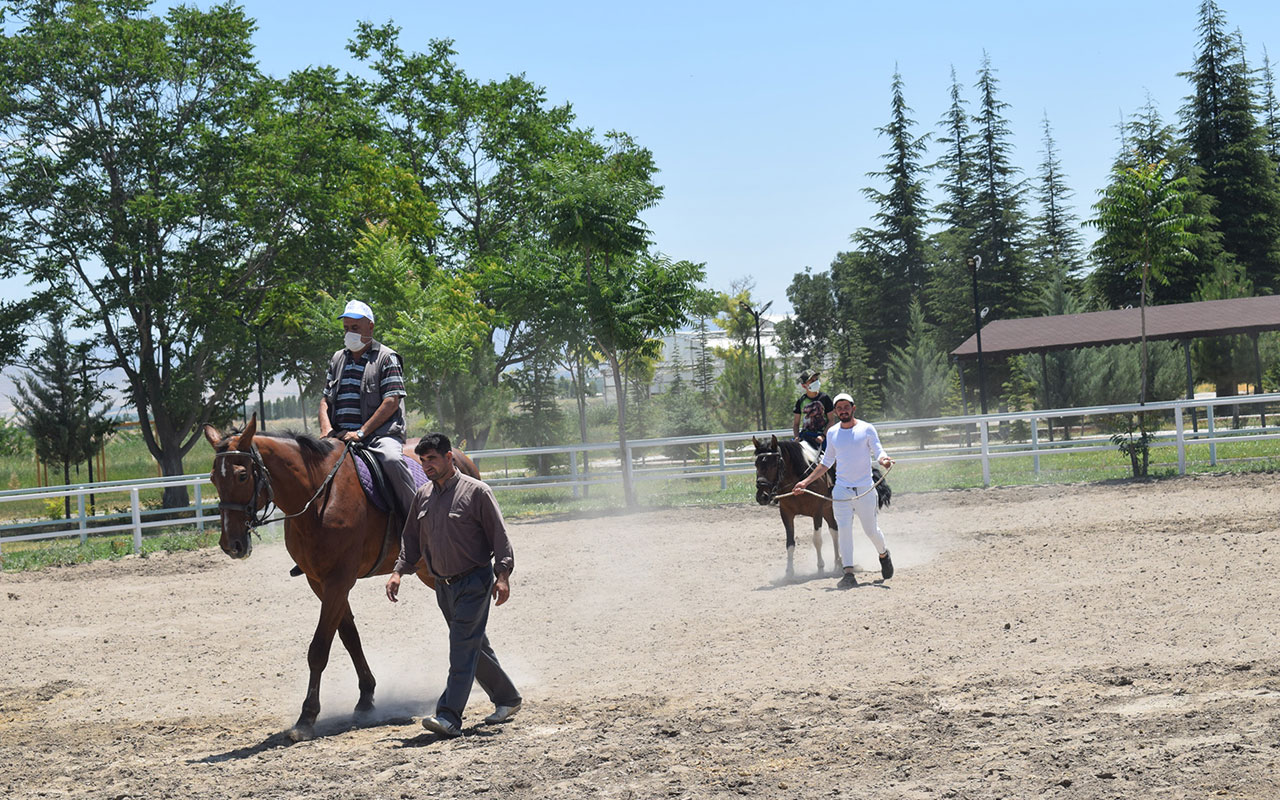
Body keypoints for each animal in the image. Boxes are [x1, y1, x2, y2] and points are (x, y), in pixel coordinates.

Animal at [202, 414, 481, 737]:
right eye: (213, 479)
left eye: (242, 476)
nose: (230, 544)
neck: (319, 497)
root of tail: (462, 458)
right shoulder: (320, 582)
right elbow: (349, 637)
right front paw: (366, 697)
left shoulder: (339, 580)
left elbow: (319, 648)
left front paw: (307, 717)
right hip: (427, 570)